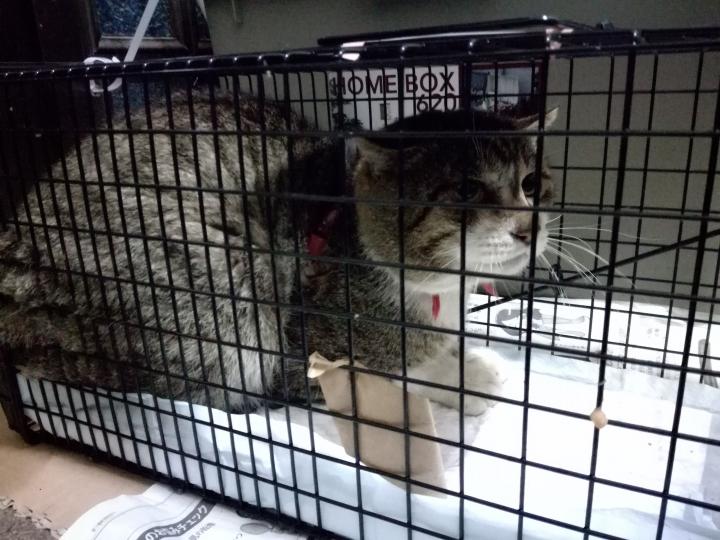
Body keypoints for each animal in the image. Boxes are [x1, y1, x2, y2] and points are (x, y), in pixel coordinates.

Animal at [0, 87, 556, 415]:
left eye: (531, 184)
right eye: (465, 190)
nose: (529, 227)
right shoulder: (309, 357)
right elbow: (399, 374)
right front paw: (468, 375)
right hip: (215, 304)